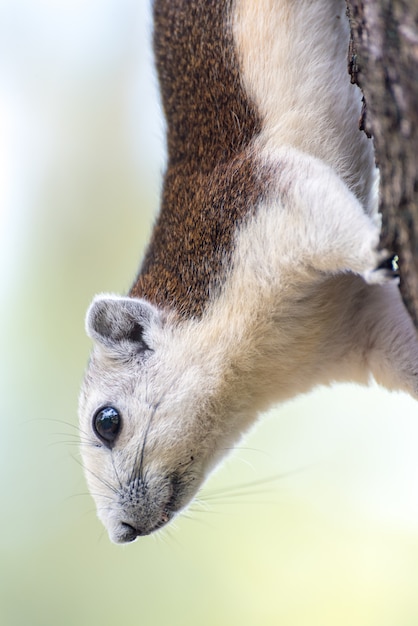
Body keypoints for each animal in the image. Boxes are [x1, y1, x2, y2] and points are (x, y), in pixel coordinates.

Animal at [77, 0, 418, 540]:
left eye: (106, 421)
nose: (121, 533)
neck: (263, 363)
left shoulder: (258, 204)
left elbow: (316, 205)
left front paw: (373, 252)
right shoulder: (357, 324)